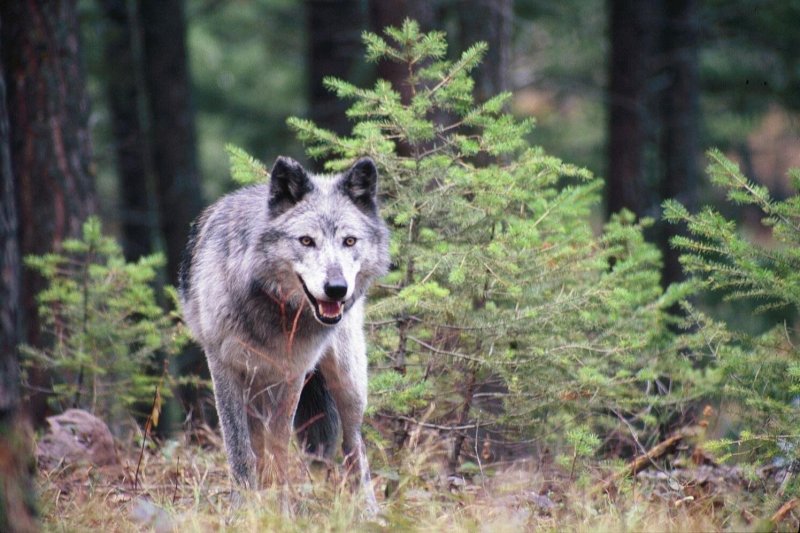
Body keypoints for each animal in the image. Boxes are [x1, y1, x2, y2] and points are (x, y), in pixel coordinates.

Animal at [182, 156, 394, 510]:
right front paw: (243, 509)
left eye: (349, 241)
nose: (337, 289)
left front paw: (279, 509)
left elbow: (278, 449)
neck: (274, 311)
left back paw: (369, 512)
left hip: (348, 383)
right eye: (306, 241)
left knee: (354, 447)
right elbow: (241, 451)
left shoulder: (293, 373)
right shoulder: (225, 368)